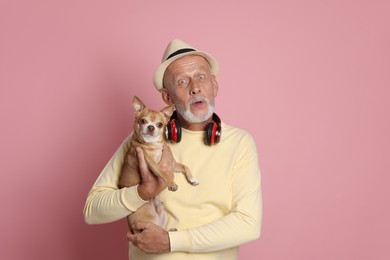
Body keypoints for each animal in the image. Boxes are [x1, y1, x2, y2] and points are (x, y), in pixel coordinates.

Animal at [119, 95, 198, 230]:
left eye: (160, 124)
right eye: (143, 121)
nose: (151, 127)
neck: (153, 144)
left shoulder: (173, 164)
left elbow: (185, 167)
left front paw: (192, 179)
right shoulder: (151, 163)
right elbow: (163, 172)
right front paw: (172, 184)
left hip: (163, 215)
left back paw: (171, 229)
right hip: (147, 219)